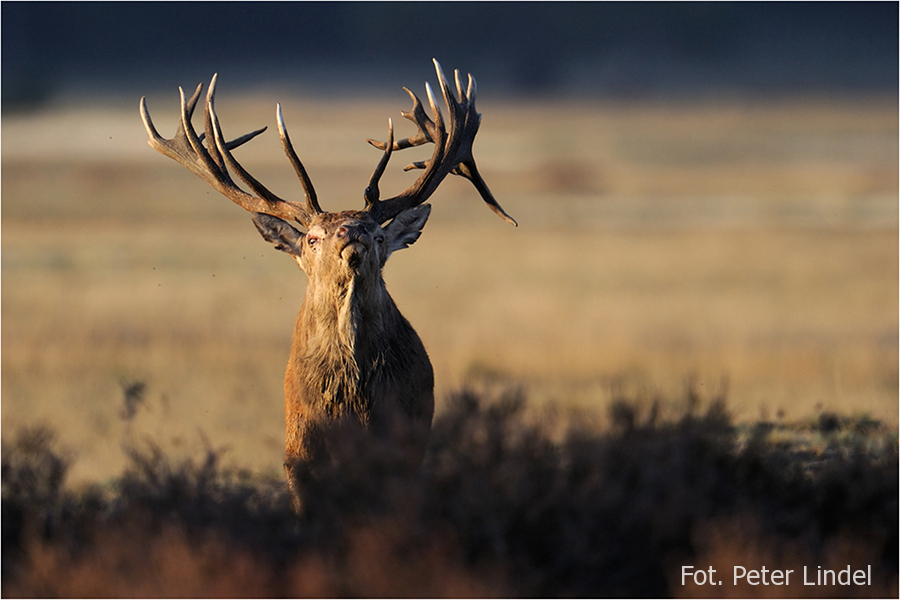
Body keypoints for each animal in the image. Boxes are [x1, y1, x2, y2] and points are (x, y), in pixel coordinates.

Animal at [140, 60, 515, 504]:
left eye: (379, 234)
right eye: (313, 238)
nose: (352, 230)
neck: (354, 404)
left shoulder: (406, 451)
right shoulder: (300, 457)